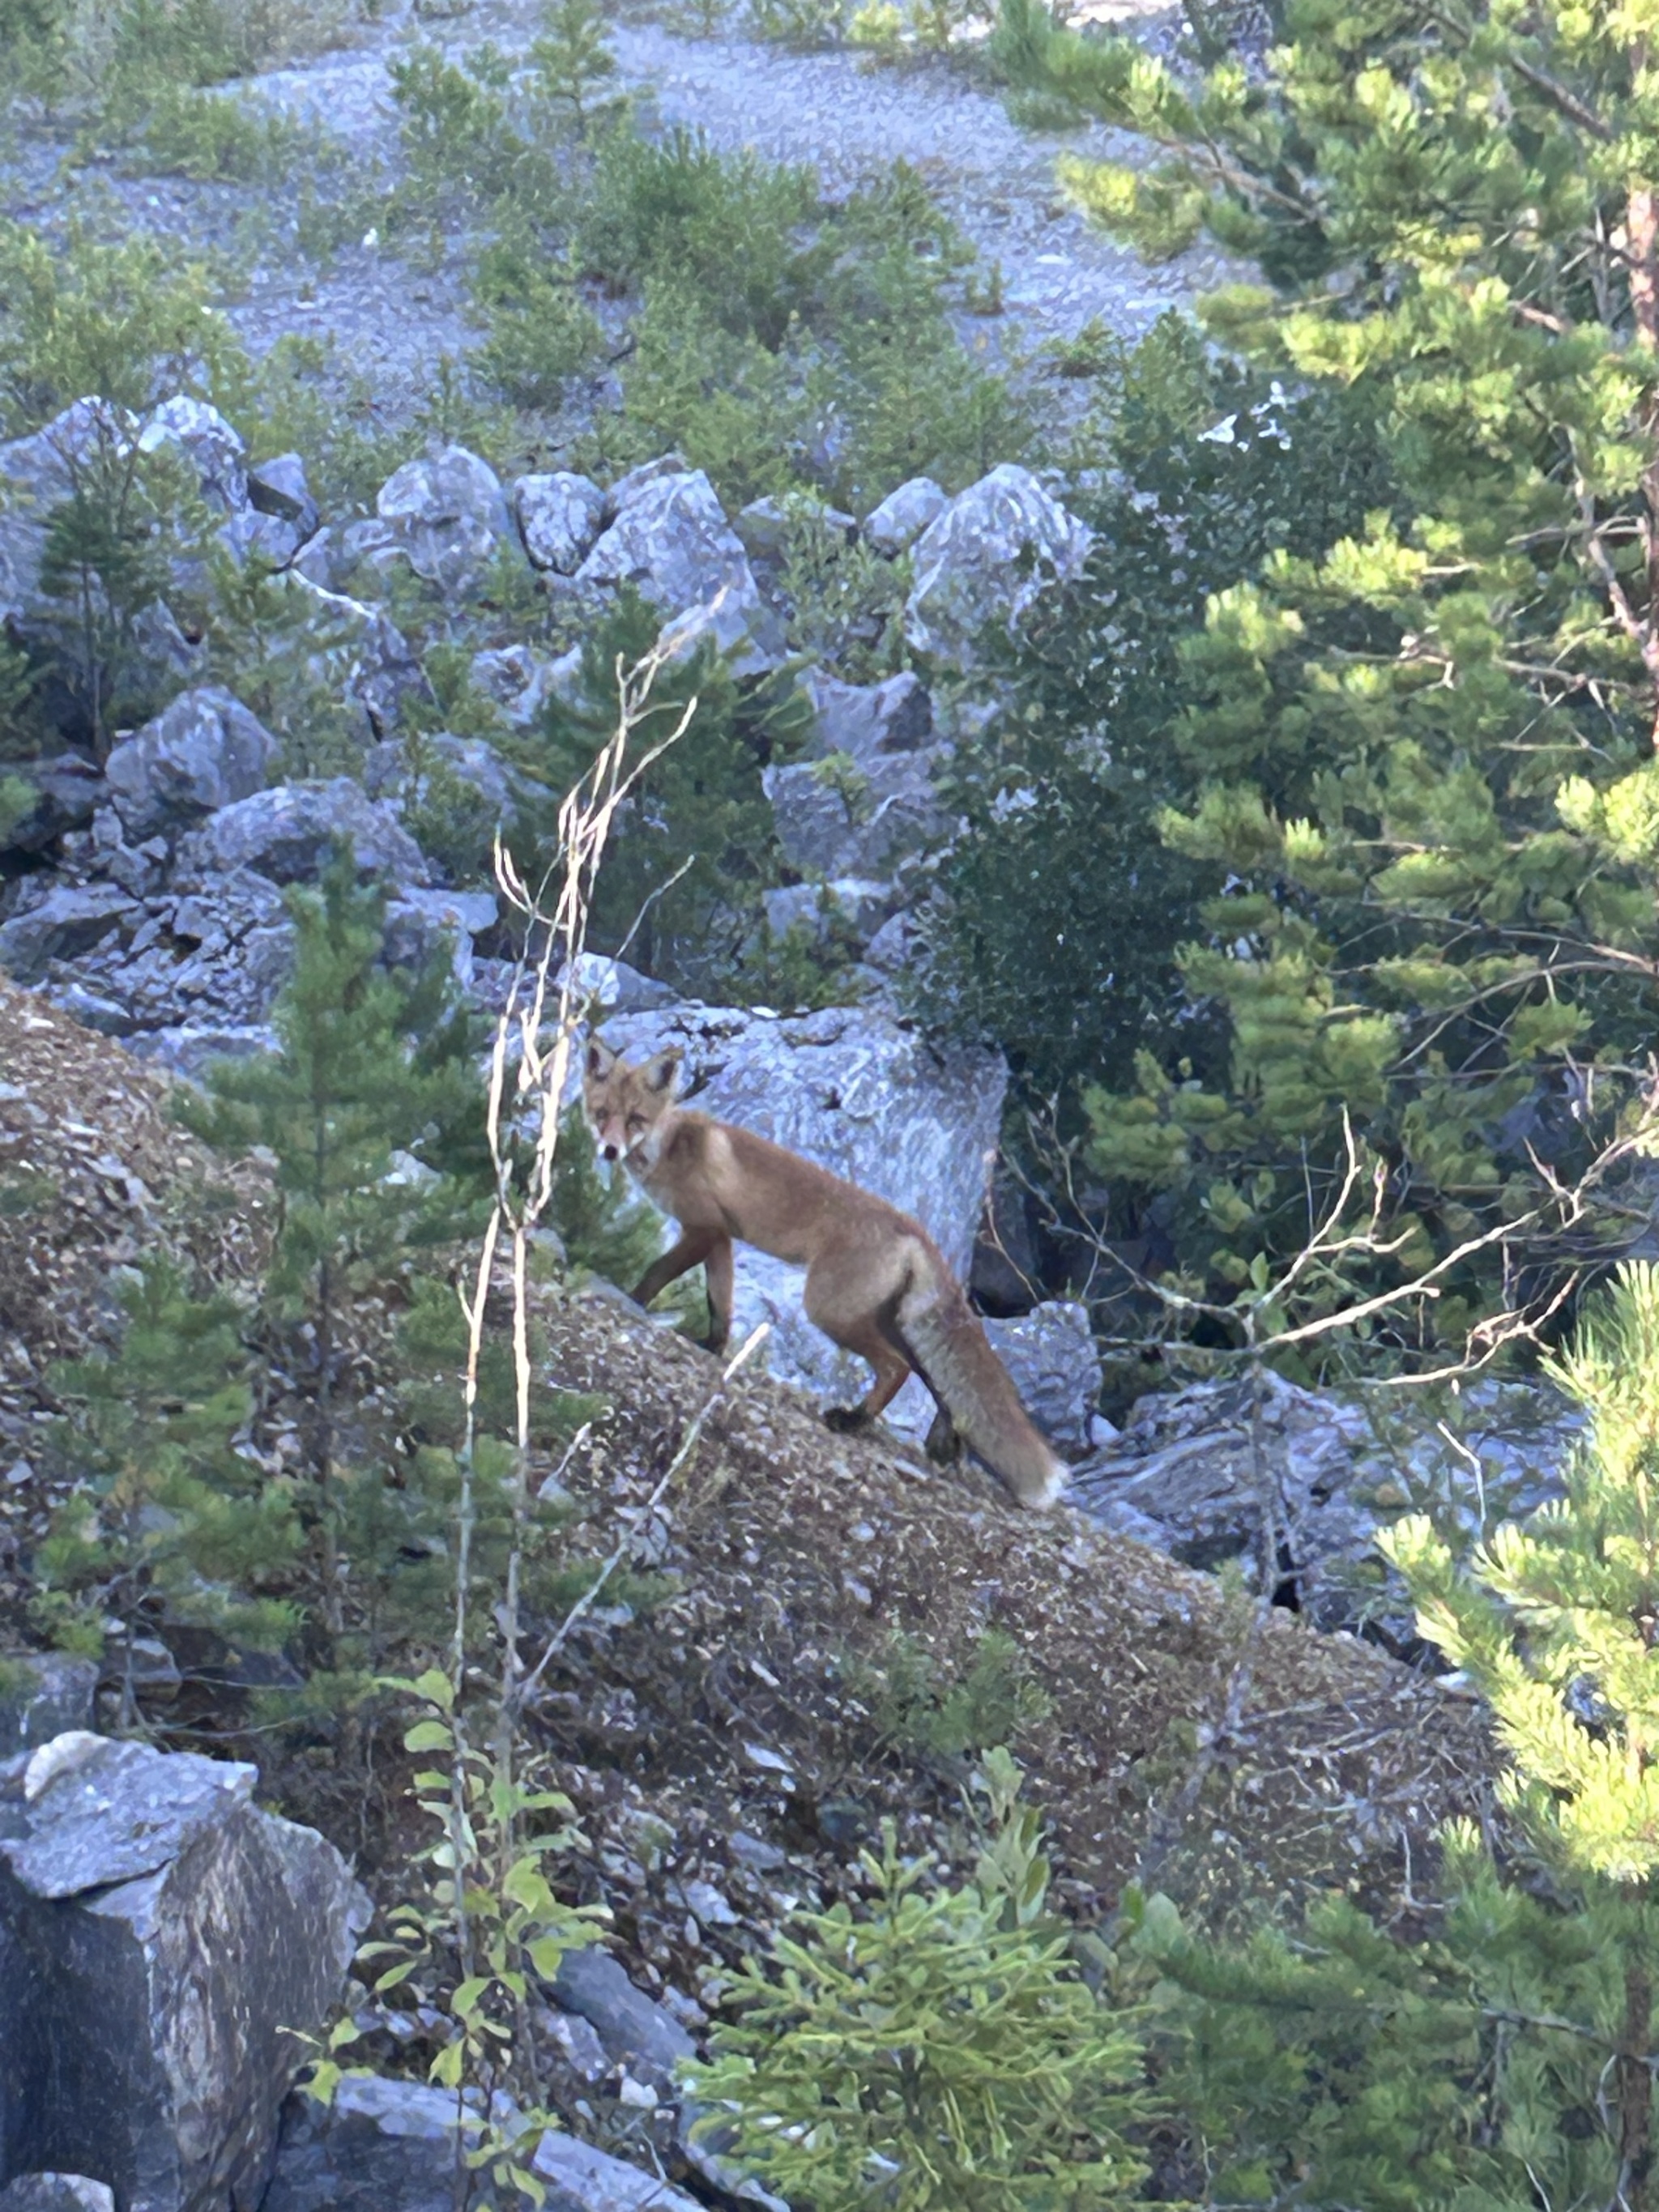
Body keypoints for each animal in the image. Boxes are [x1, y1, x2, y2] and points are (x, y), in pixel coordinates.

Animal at [583, 1038, 1067, 1511]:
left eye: (635, 1119)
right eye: (602, 1113)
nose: (608, 1150)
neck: (670, 1145)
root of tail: (915, 1229)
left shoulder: (702, 1228)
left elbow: (657, 1273)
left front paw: (631, 1299)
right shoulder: (720, 1238)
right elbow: (720, 1303)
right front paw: (713, 1347)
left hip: (829, 1310)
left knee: (897, 1370)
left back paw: (854, 1420)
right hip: (886, 1321)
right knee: (936, 1382)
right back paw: (944, 1444)